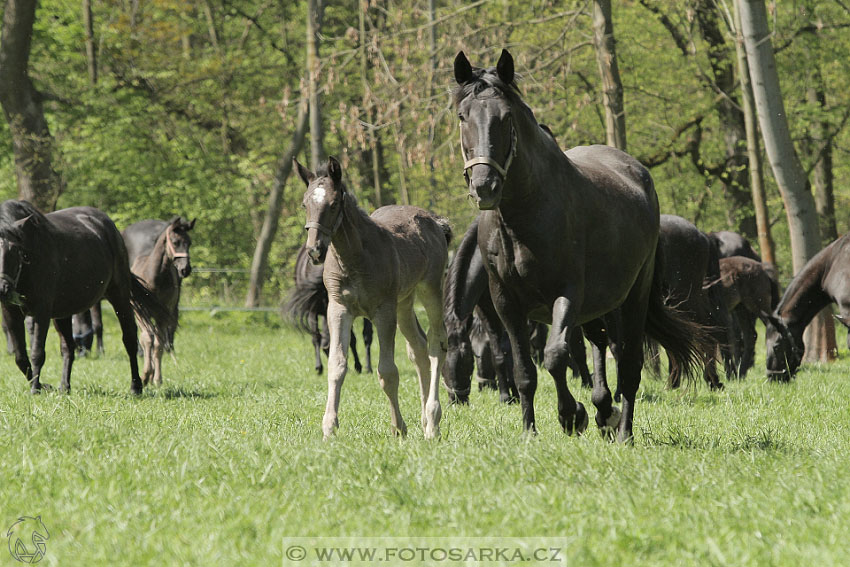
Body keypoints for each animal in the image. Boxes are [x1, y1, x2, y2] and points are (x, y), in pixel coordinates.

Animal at [0, 201, 171, 394]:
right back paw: (64, 386)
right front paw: (43, 385)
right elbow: (20, 357)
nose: (2, 289)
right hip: (63, 313)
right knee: (68, 347)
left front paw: (36, 389)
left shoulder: (41, 312)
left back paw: (136, 386)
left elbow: (37, 352)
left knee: (129, 339)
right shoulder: (11, 312)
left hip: (119, 296)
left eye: (14, 250)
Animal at [294, 155, 450, 440]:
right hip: (404, 303)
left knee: (436, 343)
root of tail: (434, 220)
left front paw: (398, 427)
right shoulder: (338, 309)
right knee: (418, 348)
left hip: (430, 290)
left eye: (333, 204)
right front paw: (329, 428)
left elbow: (387, 371)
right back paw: (425, 419)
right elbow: (336, 366)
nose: (314, 251)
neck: (355, 258)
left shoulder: (383, 311)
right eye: (304, 204)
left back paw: (433, 421)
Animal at [450, 48, 704, 442]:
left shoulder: (567, 293)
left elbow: (556, 355)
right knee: (600, 345)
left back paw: (623, 429)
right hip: (597, 305)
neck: (523, 216)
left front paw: (572, 415)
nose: (484, 186)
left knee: (628, 363)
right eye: (463, 116)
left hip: (633, 297)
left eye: (505, 117)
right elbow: (525, 371)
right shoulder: (507, 303)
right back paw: (603, 410)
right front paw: (530, 432)